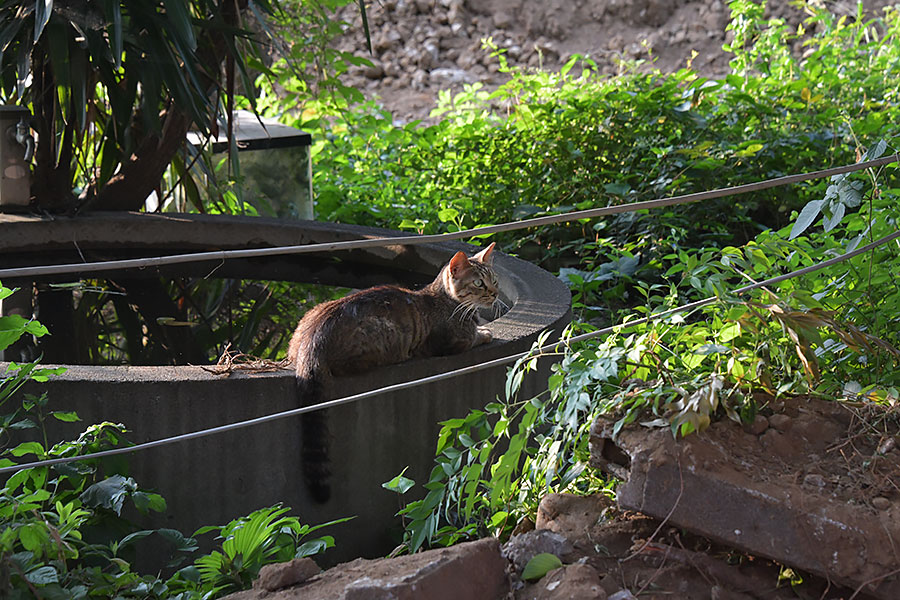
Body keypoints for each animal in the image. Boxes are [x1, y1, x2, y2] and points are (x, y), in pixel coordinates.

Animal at [286, 243, 500, 502]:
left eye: (495, 280)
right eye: (479, 283)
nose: (495, 293)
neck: (445, 301)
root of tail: (314, 335)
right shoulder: (451, 343)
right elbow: (474, 337)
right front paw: (485, 332)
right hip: (382, 334)